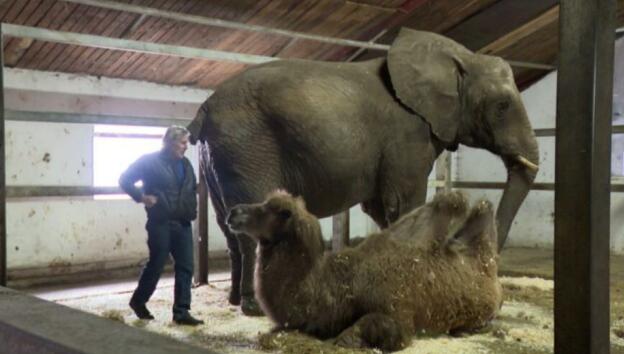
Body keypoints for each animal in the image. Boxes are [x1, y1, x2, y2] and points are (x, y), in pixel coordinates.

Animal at [188, 28, 540, 316]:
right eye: (503, 106)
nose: (497, 303)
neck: (459, 56)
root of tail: (204, 108)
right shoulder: (407, 135)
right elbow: (404, 203)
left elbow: (381, 210)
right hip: (246, 148)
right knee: (249, 223)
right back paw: (253, 308)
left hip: (220, 156)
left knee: (227, 224)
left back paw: (234, 301)